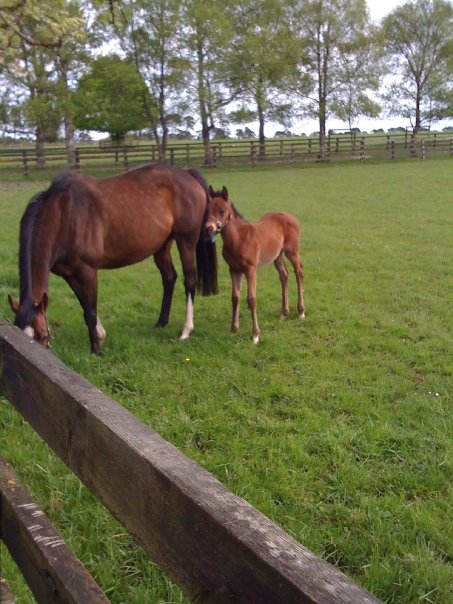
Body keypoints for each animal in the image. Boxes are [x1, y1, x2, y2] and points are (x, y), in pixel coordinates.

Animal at [8, 165, 217, 354]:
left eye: (43, 336)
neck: (63, 217)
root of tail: (187, 173)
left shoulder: (87, 271)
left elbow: (90, 311)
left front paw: (96, 349)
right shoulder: (69, 274)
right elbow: (84, 303)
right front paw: (100, 335)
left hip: (186, 241)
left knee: (189, 281)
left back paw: (186, 330)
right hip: (162, 245)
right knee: (169, 278)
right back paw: (161, 322)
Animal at [204, 184, 304, 344]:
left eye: (222, 210)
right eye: (207, 209)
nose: (209, 229)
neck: (238, 239)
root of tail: (292, 217)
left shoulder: (250, 270)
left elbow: (251, 299)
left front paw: (255, 335)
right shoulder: (234, 269)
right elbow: (235, 297)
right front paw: (233, 329)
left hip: (292, 251)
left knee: (299, 272)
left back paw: (301, 311)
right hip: (277, 256)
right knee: (284, 275)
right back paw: (284, 312)